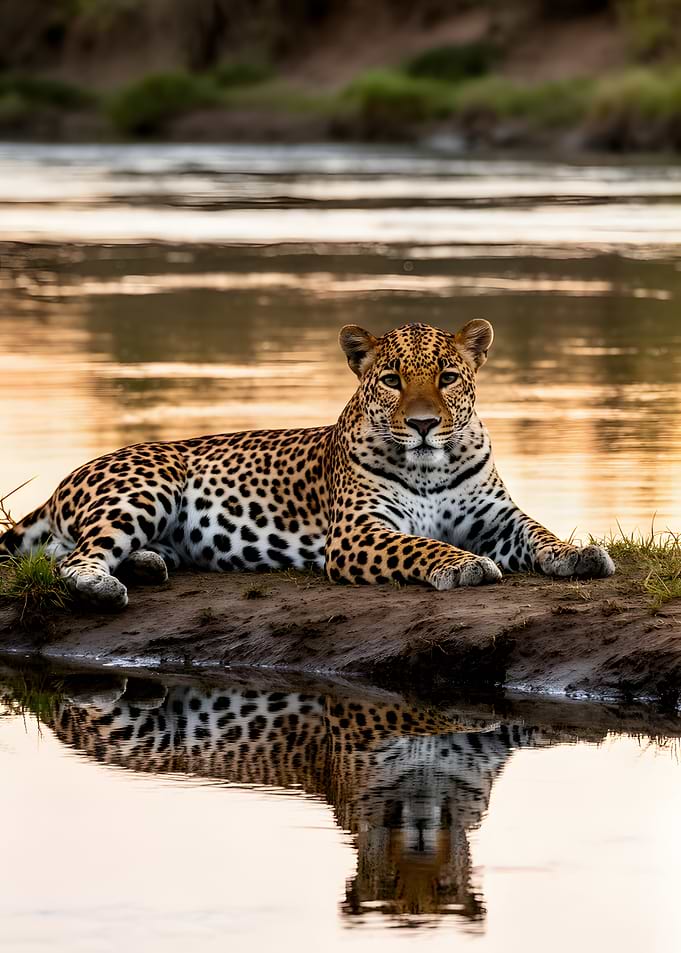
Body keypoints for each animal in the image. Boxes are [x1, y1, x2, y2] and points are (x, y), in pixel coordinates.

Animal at [0, 319, 614, 608]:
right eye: (392, 380)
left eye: (447, 377)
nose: (422, 424)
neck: (432, 467)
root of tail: (63, 481)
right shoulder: (359, 532)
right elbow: (422, 544)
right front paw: (463, 564)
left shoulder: (496, 516)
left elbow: (538, 533)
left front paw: (578, 554)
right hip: (144, 489)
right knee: (72, 560)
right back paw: (106, 585)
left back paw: (149, 564)